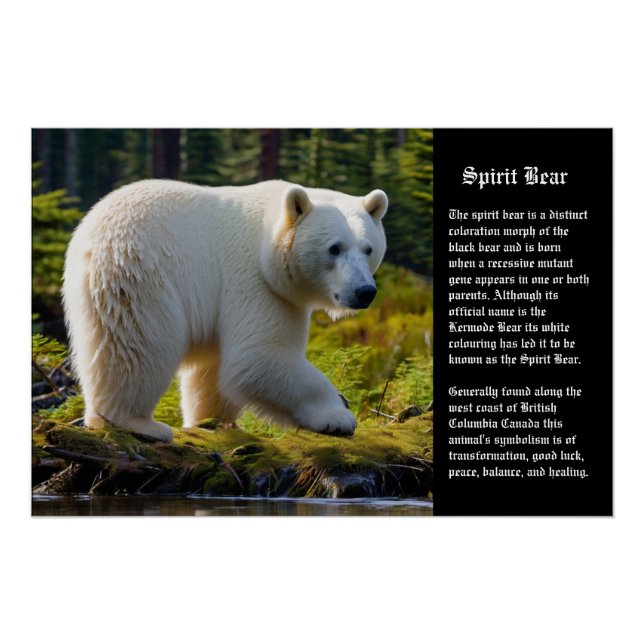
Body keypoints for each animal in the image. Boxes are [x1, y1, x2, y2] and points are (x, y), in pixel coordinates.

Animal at [62, 179, 387, 442]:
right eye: (334, 248)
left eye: (368, 249)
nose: (364, 291)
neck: (268, 237)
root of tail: (87, 234)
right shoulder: (255, 281)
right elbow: (259, 356)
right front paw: (338, 415)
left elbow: (215, 367)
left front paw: (214, 420)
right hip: (141, 272)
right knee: (137, 345)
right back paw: (137, 423)